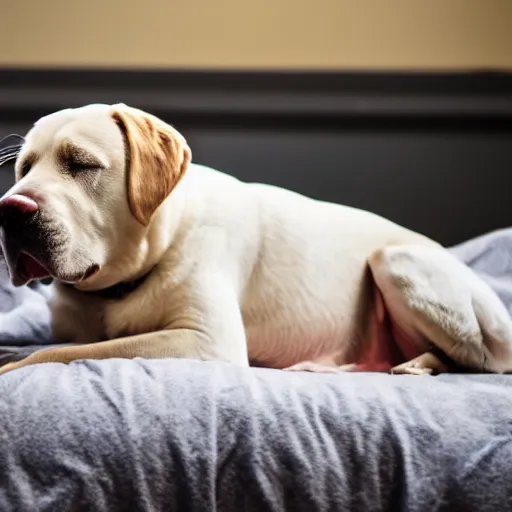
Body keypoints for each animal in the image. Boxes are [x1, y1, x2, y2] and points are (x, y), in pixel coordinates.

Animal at [0, 104, 510, 376]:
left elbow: (58, 352)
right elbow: (58, 344)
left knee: (477, 361)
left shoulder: (206, 342)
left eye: (81, 163)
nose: (10, 209)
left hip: (395, 262)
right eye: (24, 168)